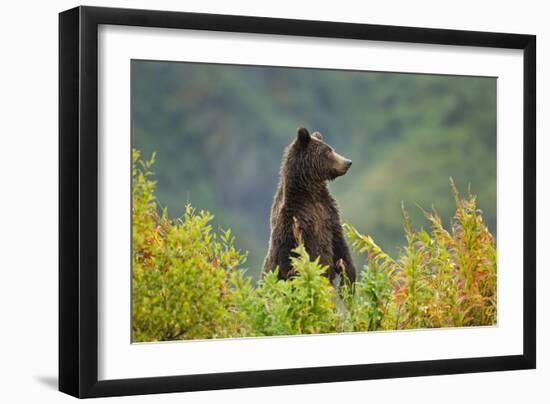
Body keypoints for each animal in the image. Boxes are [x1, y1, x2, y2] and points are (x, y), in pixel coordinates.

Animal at [264, 127, 358, 284]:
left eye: (332, 149)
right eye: (327, 151)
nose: (348, 162)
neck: (309, 193)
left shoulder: (328, 213)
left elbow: (340, 245)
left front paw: (348, 277)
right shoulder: (293, 220)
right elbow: (290, 255)